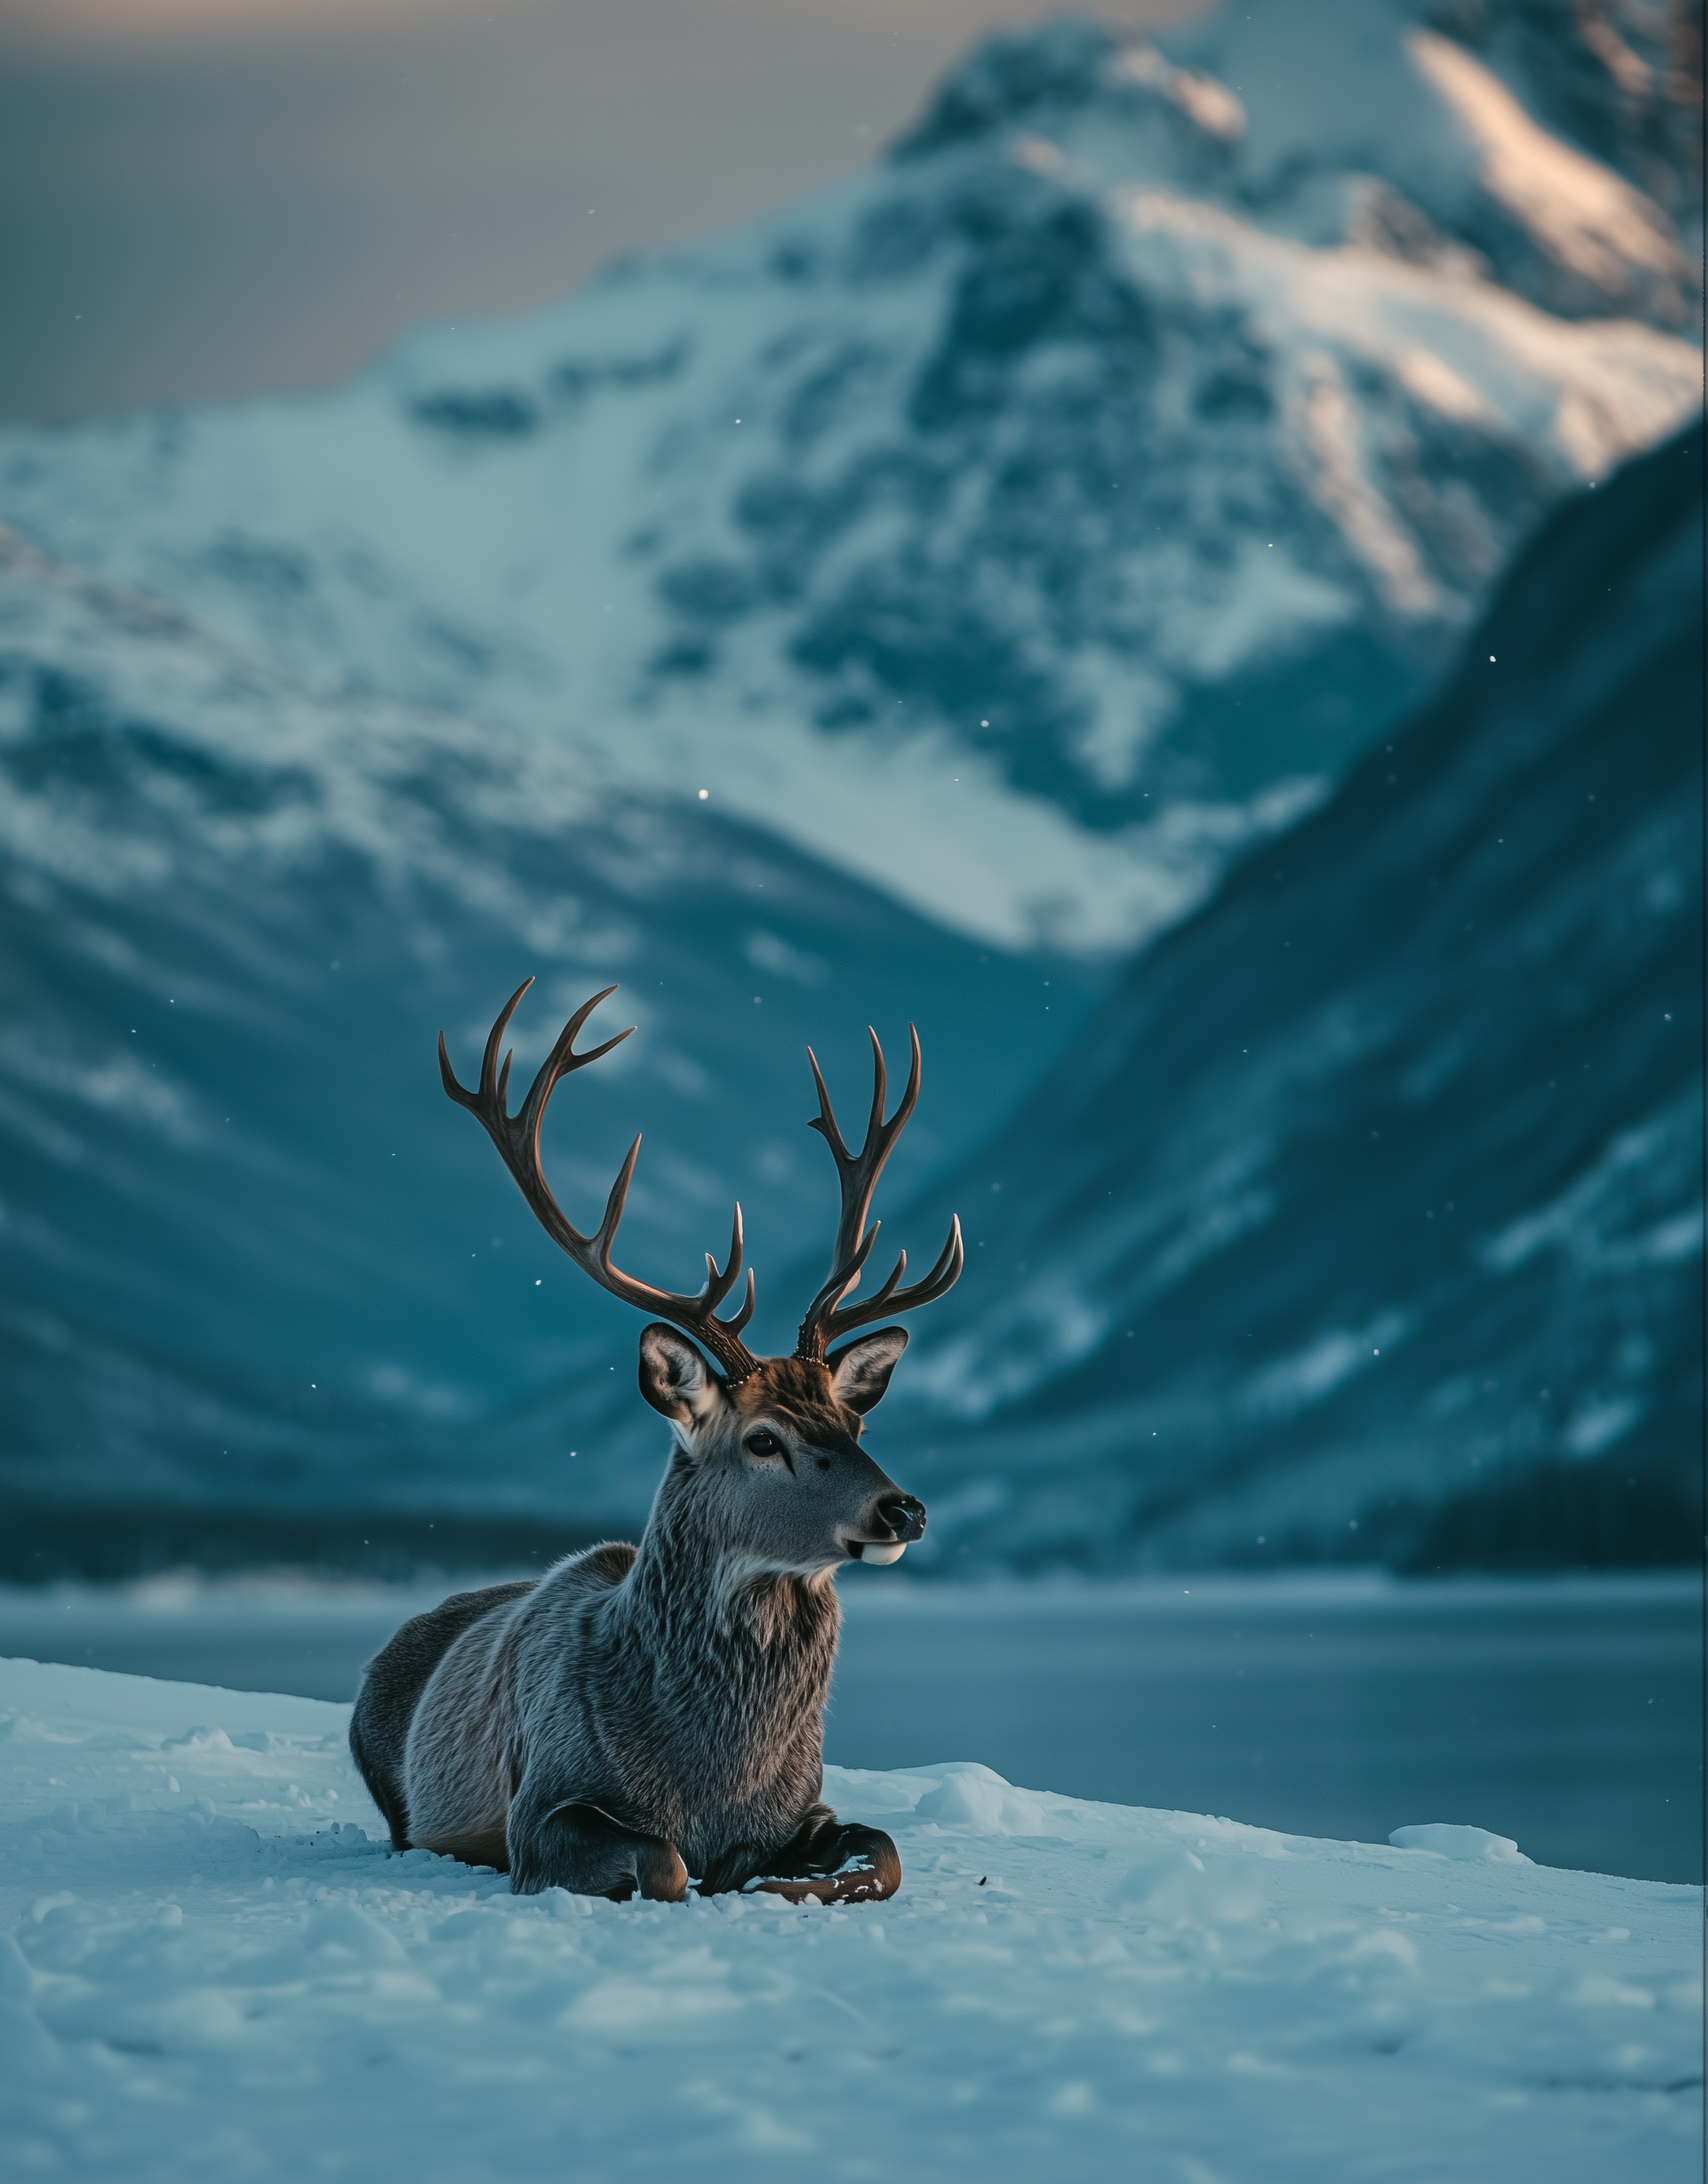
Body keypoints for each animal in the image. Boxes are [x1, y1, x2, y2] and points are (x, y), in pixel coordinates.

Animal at [349, 979, 962, 1905]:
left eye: (853, 1422)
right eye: (763, 1439)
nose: (904, 1510)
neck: (711, 1777)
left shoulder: (806, 1803)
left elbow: (880, 1854)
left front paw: (764, 1876)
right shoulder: (543, 1807)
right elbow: (668, 1865)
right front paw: (714, 1876)